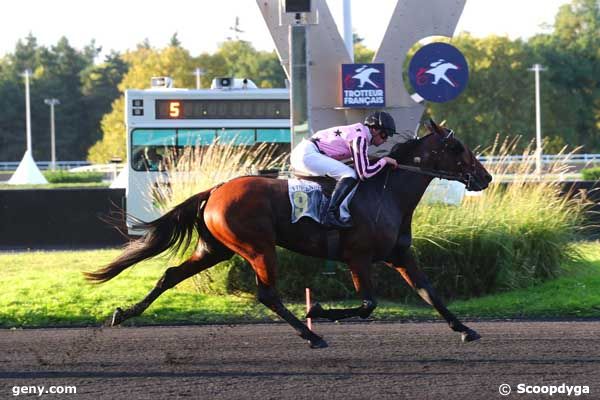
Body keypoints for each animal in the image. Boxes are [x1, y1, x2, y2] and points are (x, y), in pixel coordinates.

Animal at [85, 120, 492, 348]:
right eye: (455, 147)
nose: (485, 177)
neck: (386, 193)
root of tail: (215, 190)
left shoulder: (400, 256)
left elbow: (429, 293)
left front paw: (465, 329)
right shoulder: (358, 258)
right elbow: (367, 305)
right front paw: (319, 310)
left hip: (216, 249)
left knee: (170, 275)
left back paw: (123, 313)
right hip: (258, 247)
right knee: (267, 293)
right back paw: (312, 335)